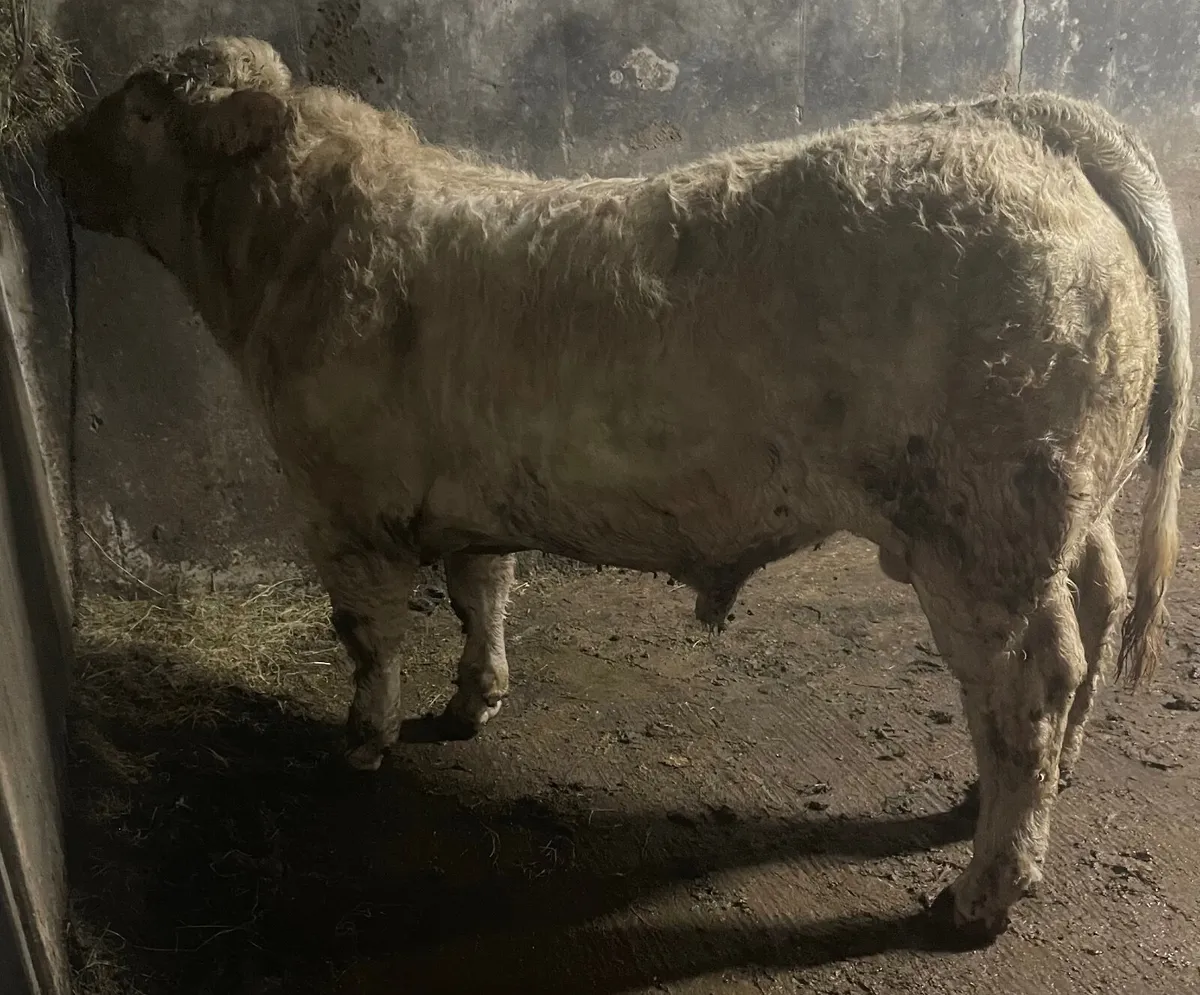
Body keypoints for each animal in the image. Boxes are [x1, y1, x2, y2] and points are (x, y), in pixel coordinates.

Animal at [46, 36, 1190, 943]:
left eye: (143, 106)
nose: (49, 148)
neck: (290, 251)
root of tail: (1013, 118)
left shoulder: (344, 503)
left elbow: (368, 636)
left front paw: (362, 742)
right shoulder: (469, 493)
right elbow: (482, 591)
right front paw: (472, 699)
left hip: (980, 534)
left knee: (1028, 688)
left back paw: (981, 886)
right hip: (1064, 508)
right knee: (1096, 609)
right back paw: (1024, 789)